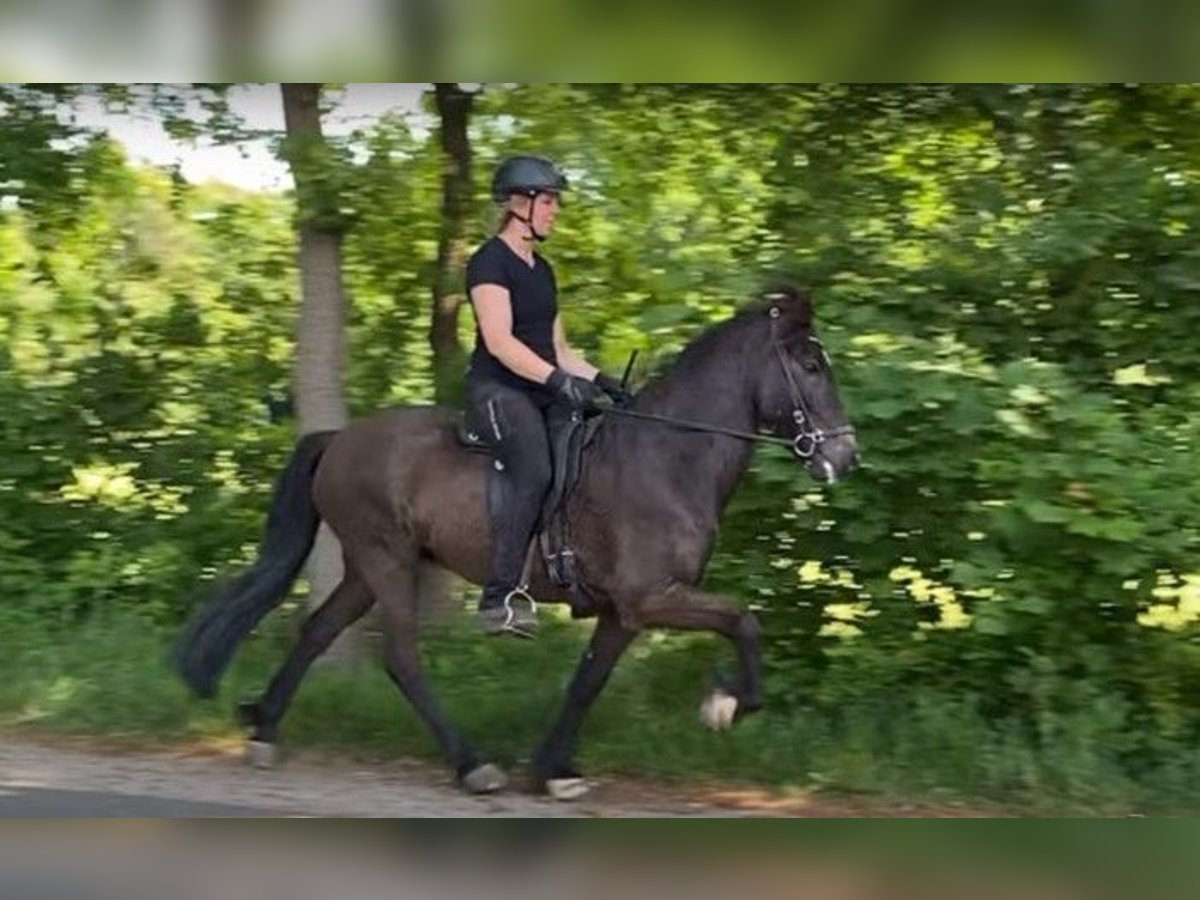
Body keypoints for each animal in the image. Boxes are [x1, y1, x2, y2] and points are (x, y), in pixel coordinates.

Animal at [174, 285, 859, 801]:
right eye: (809, 367)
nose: (845, 457)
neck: (668, 455)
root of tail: (337, 440)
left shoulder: (624, 611)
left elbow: (587, 682)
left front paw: (554, 769)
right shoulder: (652, 596)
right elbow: (743, 620)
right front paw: (725, 703)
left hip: (369, 566)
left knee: (316, 631)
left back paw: (264, 727)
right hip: (386, 560)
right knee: (402, 659)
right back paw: (471, 764)